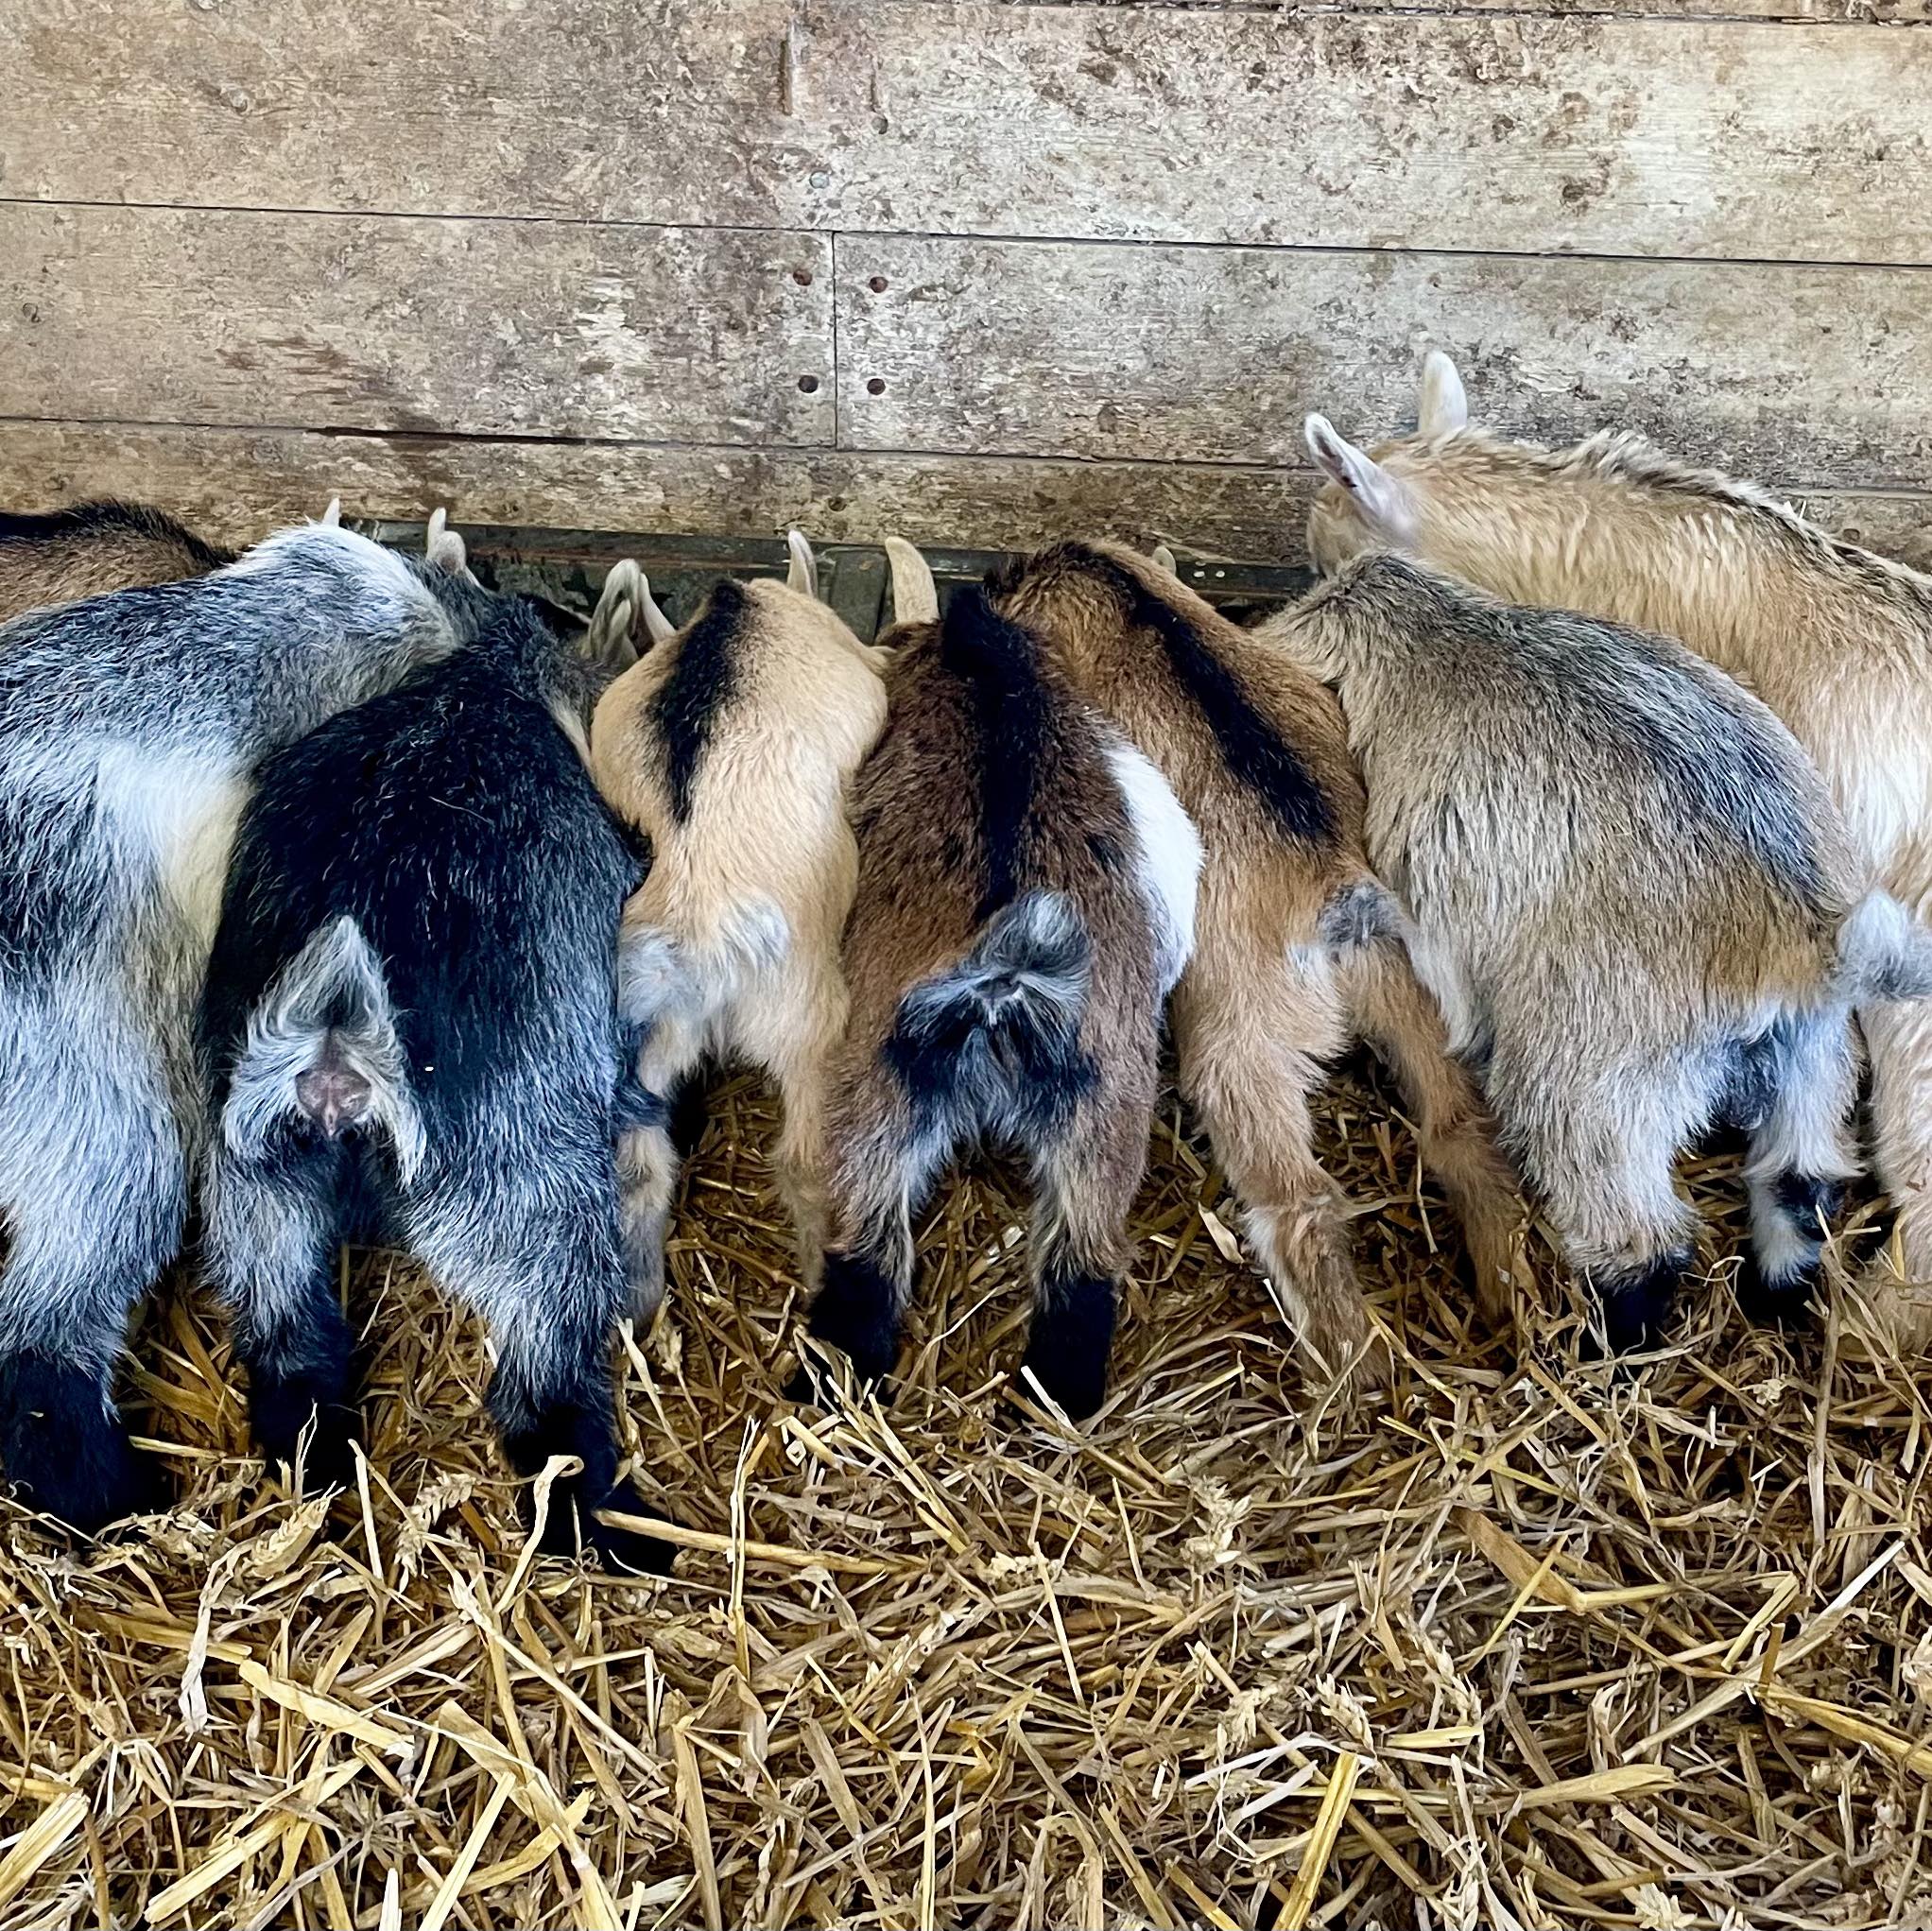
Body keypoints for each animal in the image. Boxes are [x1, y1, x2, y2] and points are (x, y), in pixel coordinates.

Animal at [198, 548, 672, 1571]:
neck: (483, 680)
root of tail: (337, 1049)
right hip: (524, 1196)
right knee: (541, 1376)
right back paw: (605, 1514)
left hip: (252, 1182)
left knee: (285, 1329)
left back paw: (317, 1454)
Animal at [587, 534, 890, 1319]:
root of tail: (688, 924)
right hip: (807, 1021)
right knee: (807, 1161)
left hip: (636, 1048)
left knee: (636, 1167)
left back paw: (639, 1301)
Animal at [799, 541, 1200, 1418]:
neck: (990, 675)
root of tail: (1003, 976)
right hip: (1096, 1111)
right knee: (1073, 1267)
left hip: (895, 1096)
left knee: (878, 1252)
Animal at [984, 540, 1522, 1387]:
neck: (1121, 594)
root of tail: (1336, 891)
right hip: (1418, 996)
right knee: (1457, 1121)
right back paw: (1506, 1287)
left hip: (1240, 1051)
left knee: (1300, 1200)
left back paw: (1357, 1369)